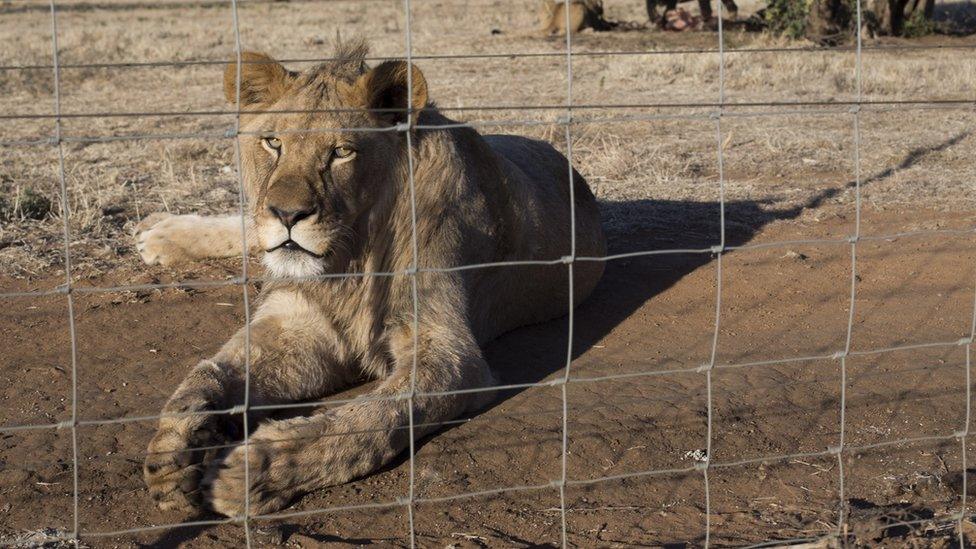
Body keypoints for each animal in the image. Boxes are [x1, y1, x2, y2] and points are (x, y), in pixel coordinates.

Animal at [135, 40, 608, 516]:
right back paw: (159, 233)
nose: (287, 215)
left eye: (342, 152)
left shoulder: (452, 354)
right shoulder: (298, 323)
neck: (350, 259)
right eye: (273, 143)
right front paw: (177, 444)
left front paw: (256, 470)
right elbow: (212, 370)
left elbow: (377, 416)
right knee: (248, 229)